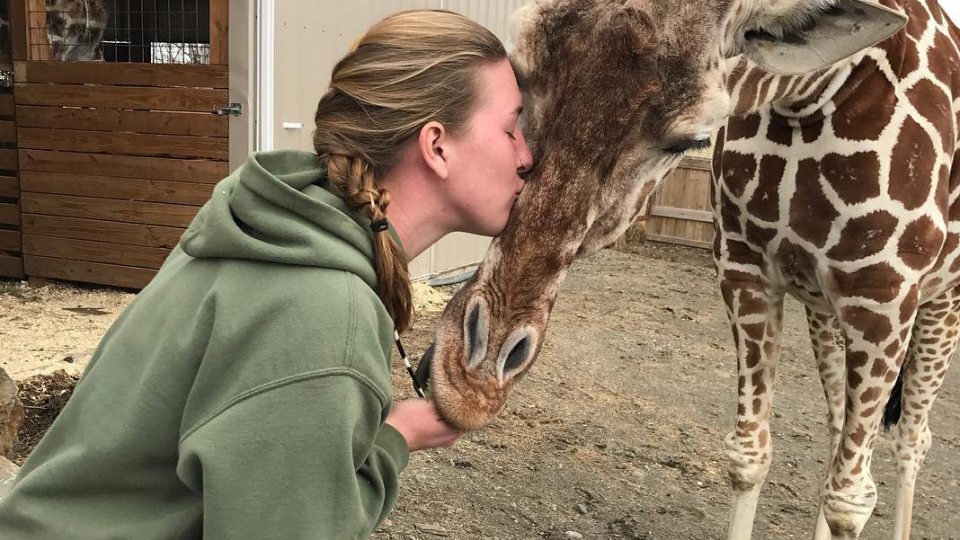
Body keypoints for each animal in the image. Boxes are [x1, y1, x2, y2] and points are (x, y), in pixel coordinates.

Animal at [408, 0, 956, 537]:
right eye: (517, 72)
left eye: (690, 140)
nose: (470, 385)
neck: (819, 98)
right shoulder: (744, 269)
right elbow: (749, 455)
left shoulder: (883, 298)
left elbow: (850, 500)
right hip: (822, 310)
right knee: (838, 427)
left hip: (937, 305)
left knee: (910, 439)